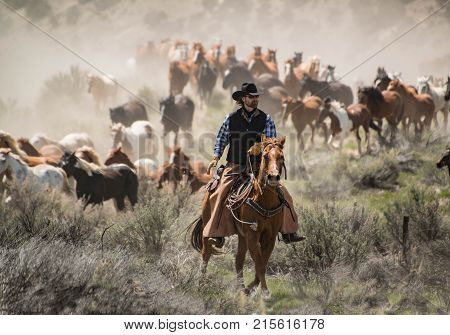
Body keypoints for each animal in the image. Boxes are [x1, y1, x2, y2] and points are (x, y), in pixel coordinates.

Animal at [190, 136, 288, 296]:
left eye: (281, 157)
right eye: (265, 156)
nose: (273, 177)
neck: (264, 200)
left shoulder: (270, 237)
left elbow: (262, 263)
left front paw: (251, 288)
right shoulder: (252, 235)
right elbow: (259, 264)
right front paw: (264, 292)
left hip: (242, 236)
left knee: (239, 260)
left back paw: (241, 287)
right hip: (208, 225)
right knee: (206, 253)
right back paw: (201, 282)